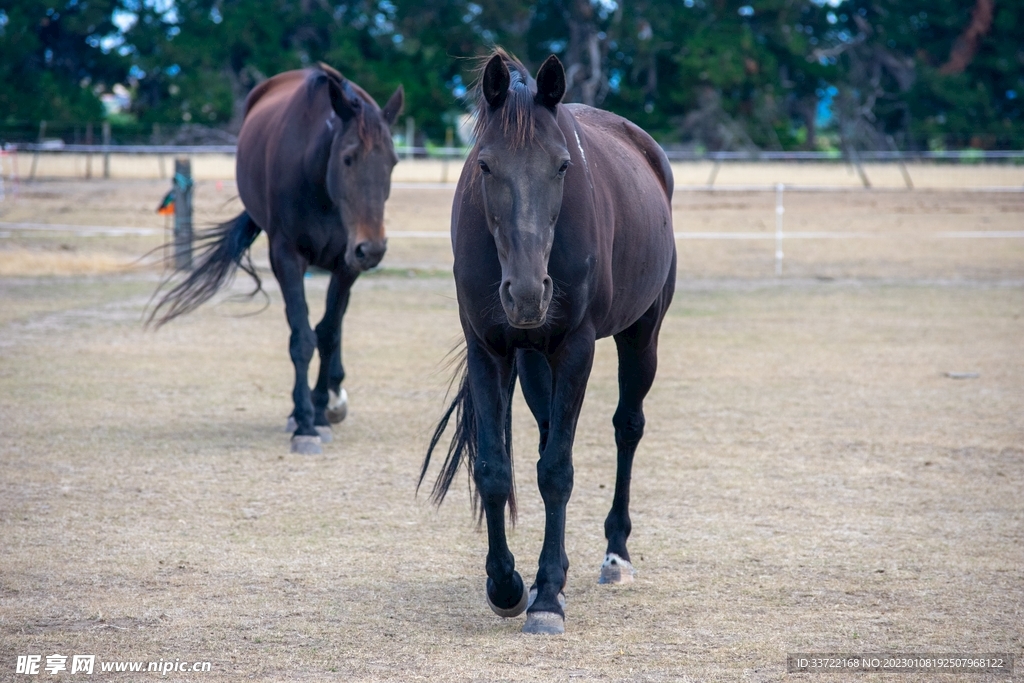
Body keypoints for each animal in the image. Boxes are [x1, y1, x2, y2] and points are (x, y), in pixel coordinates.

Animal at [149, 64, 403, 455]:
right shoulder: (287, 257)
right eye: (348, 158)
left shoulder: (346, 265)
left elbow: (327, 334)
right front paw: (305, 424)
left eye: (392, 162)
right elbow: (302, 338)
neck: (319, 183)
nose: (372, 248)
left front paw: (319, 410)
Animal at [420, 50, 676, 635]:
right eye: (485, 165)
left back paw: (614, 556)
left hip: (641, 334)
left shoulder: (577, 347)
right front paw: (509, 585)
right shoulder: (487, 349)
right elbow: (495, 470)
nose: (528, 293)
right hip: (535, 358)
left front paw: (548, 600)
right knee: (543, 436)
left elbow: (557, 472)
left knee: (627, 428)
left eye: (562, 166)